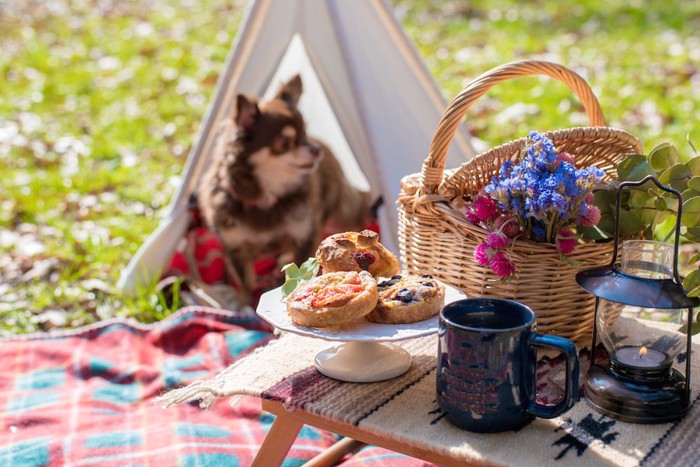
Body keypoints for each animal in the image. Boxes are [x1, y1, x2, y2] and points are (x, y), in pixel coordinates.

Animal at [197, 75, 372, 306]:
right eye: (284, 142)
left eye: (305, 133)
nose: (316, 149)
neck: (266, 198)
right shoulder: (235, 247)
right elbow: (245, 282)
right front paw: (245, 305)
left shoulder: (305, 236)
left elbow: (302, 270)